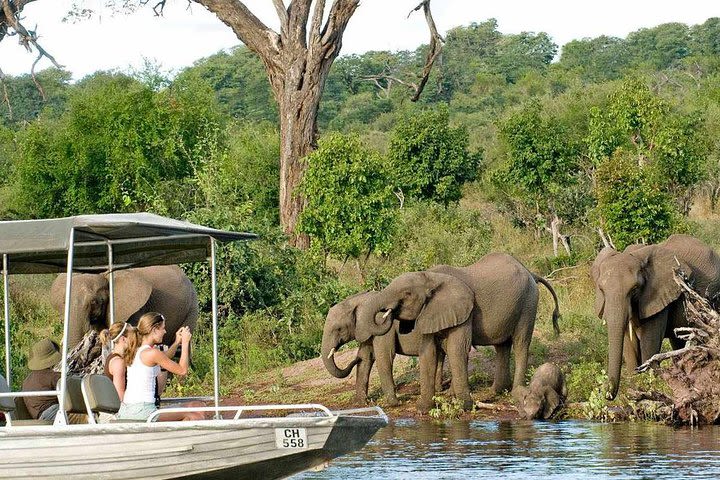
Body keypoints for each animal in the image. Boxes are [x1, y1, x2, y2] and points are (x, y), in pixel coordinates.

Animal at [356, 251, 564, 412]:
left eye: (406, 294)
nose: (388, 314)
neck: (430, 277)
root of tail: (530, 272)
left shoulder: (465, 312)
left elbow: (457, 350)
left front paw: (464, 407)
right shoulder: (432, 312)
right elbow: (428, 353)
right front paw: (423, 409)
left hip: (528, 303)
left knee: (521, 343)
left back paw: (514, 393)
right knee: (502, 346)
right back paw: (495, 392)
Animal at [592, 234, 720, 400]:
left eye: (634, 289)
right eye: (601, 289)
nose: (607, 395)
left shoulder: (657, 295)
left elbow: (649, 345)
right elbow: (628, 344)